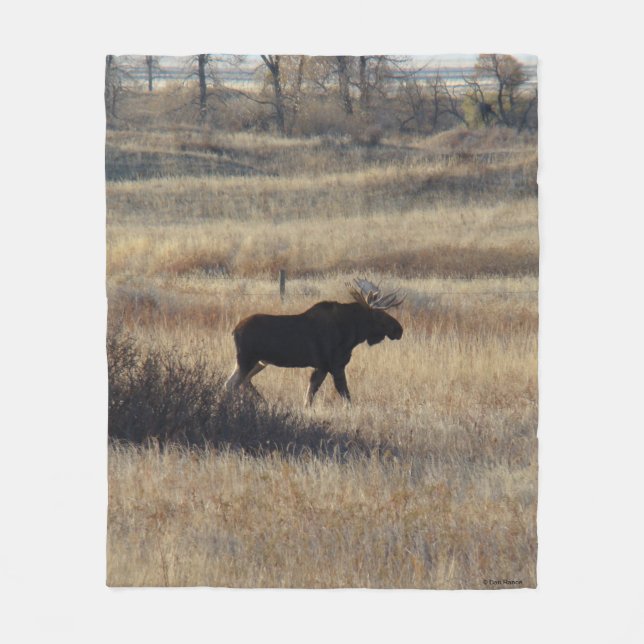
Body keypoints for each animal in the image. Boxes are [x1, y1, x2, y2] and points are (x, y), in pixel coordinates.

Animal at [225, 279, 404, 405]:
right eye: (380, 314)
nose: (399, 329)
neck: (352, 333)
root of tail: (234, 330)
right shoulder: (335, 365)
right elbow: (346, 396)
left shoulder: (322, 367)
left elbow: (308, 397)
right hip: (246, 360)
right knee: (230, 384)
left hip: (259, 362)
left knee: (242, 382)